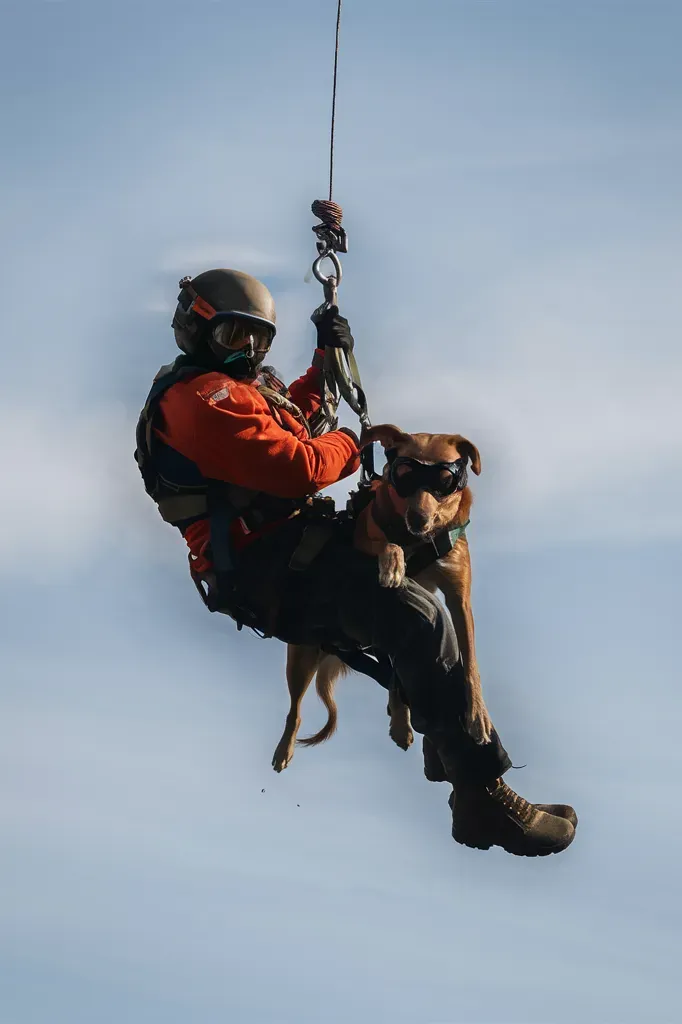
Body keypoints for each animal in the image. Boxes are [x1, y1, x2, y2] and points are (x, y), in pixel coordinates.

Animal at [268, 419, 491, 770]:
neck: (418, 541)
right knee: (296, 709)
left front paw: (478, 716)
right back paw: (284, 748)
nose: (418, 519)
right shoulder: (366, 538)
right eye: (404, 474)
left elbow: (470, 663)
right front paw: (392, 562)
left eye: (445, 482)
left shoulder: (460, 598)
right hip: (302, 655)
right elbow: (387, 543)